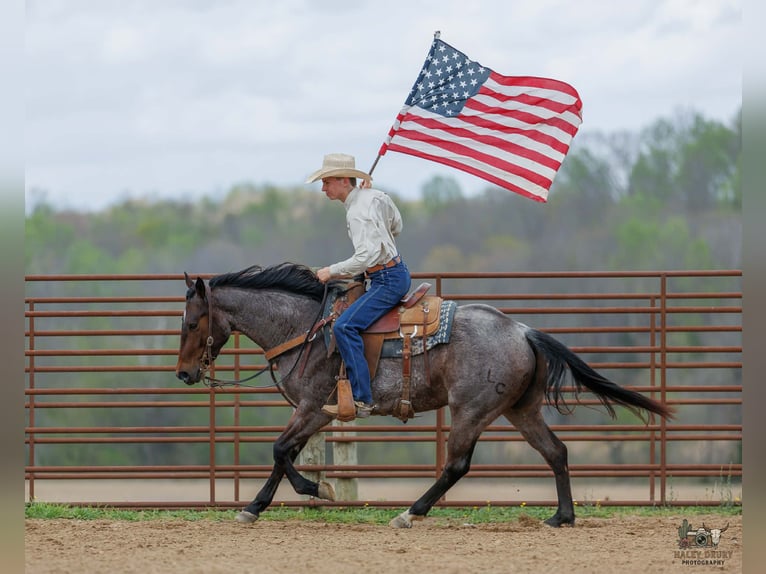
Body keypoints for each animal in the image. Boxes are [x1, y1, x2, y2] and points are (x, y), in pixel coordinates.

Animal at [175, 262, 673, 528]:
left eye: (191, 322)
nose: (183, 373)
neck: (307, 329)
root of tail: (523, 330)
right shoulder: (315, 412)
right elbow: (285, 454)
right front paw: (265, 504)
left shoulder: (316, 408)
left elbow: (281, 451)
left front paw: (311, 491)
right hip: (520, 410)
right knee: (556, 452)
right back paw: (561, 517)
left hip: (470, 410)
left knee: (457, 465)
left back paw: (410, 513)